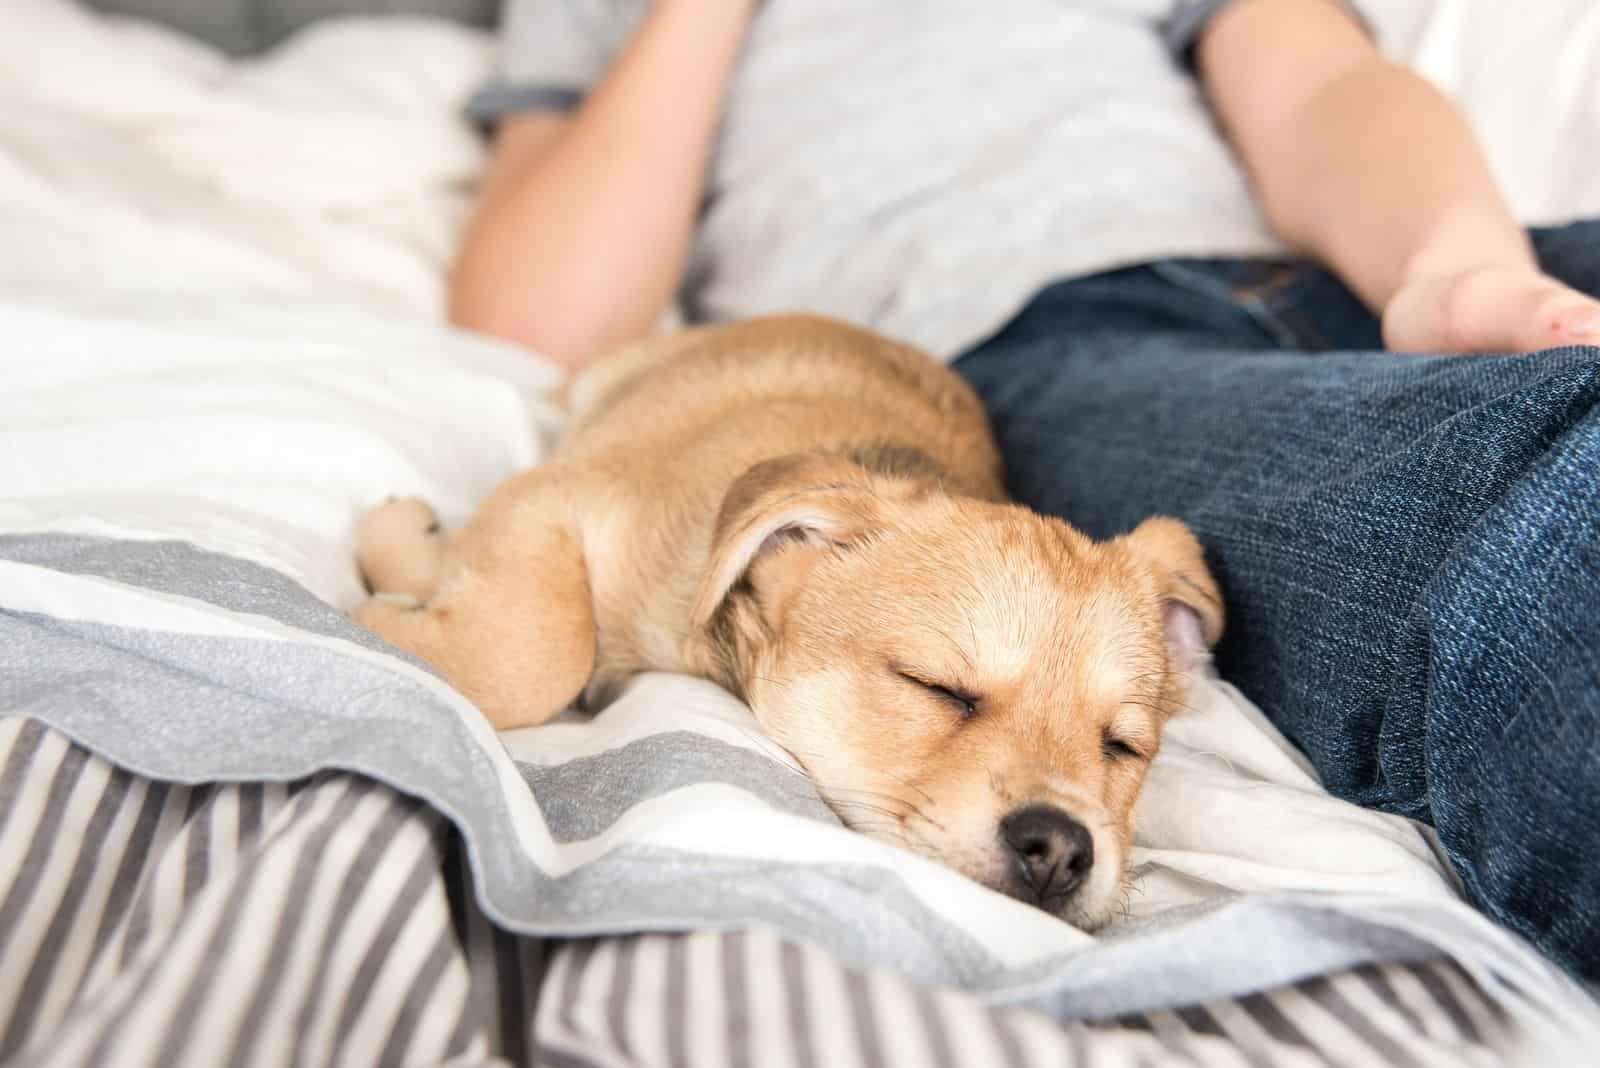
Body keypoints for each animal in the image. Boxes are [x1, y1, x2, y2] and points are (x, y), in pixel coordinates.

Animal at [353, 313, 1222, 927]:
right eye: (937, 687)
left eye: (1122, 746)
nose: (1060, 850)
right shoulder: (558, 495)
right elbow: (537, 651)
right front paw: (395, 577)